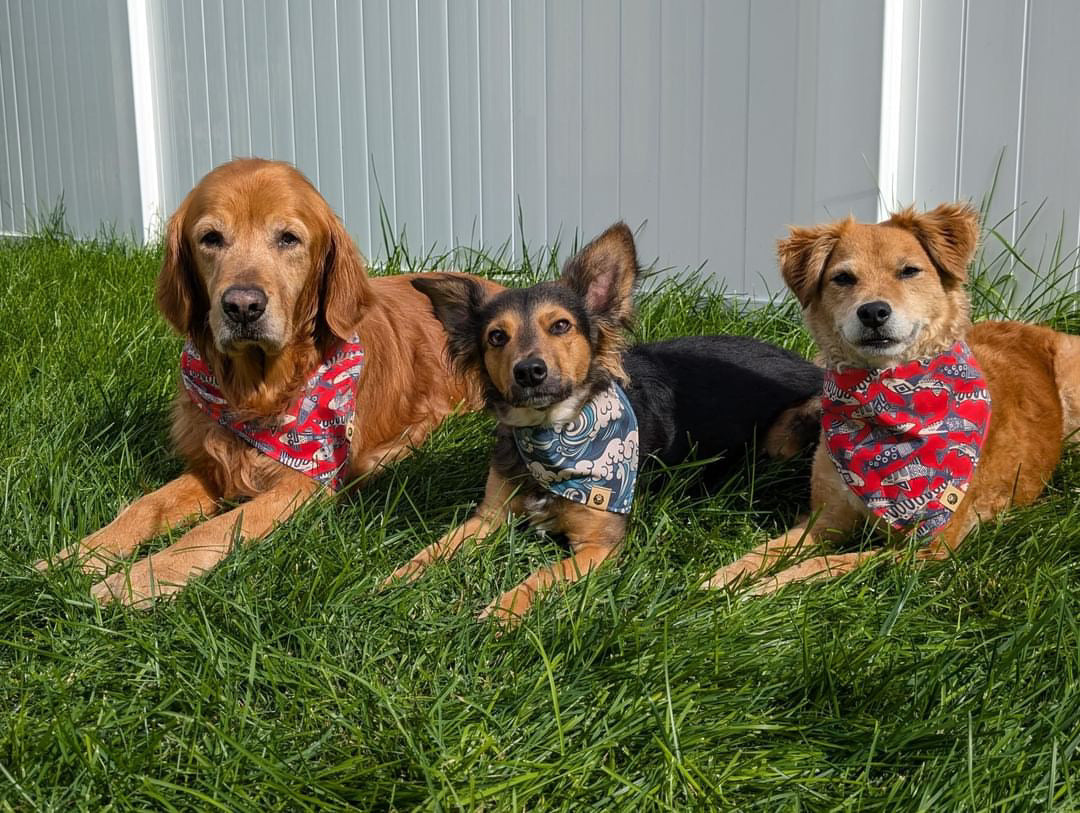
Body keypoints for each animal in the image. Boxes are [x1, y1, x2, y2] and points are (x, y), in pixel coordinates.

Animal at [38, 156, 498, 604]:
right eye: (211, 238)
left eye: (288, 239)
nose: (243, 306)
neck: (258, 396)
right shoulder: (213, 467)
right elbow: (144, 507)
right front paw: (75, 557)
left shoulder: (302, 482)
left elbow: (215, 527)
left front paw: (138, 580)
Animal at [380, 222, 816, 621]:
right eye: (496, 337)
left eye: (560, 325)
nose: (529, 372)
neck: (555, 437)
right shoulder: (489, 516)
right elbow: (437, 547)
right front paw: (394, 581)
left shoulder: (600, 546)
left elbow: (540, 576)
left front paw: (502, 613)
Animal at [704, 202, 1080, 591]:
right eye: (843, 278)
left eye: (909, 271)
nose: (873, 311)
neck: (886, 398)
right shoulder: (826, 519)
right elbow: (769, 550)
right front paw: (725, 578)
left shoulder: (927, 548)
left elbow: (830, 565)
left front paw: (769, 586)